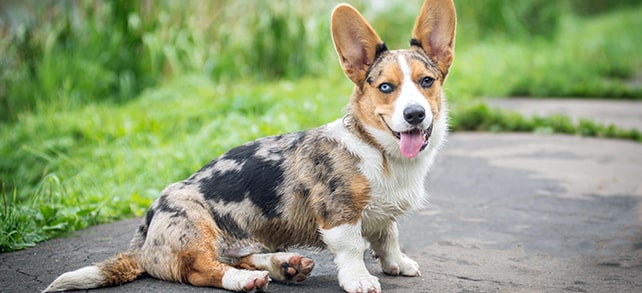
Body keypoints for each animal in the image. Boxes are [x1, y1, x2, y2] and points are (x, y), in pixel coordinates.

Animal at [43, 1, 456, 290]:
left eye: (427, 81)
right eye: (386, 87)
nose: (415, 114)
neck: (380, 151)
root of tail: (143, 240)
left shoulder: (382, 215)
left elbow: (388, 236)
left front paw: (397, 263)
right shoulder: (339, 213)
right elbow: (353, 247)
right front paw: (359, 280)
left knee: (238, 257)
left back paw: (283, 266)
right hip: (195, 227)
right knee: (202, 270)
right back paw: (245, 281)